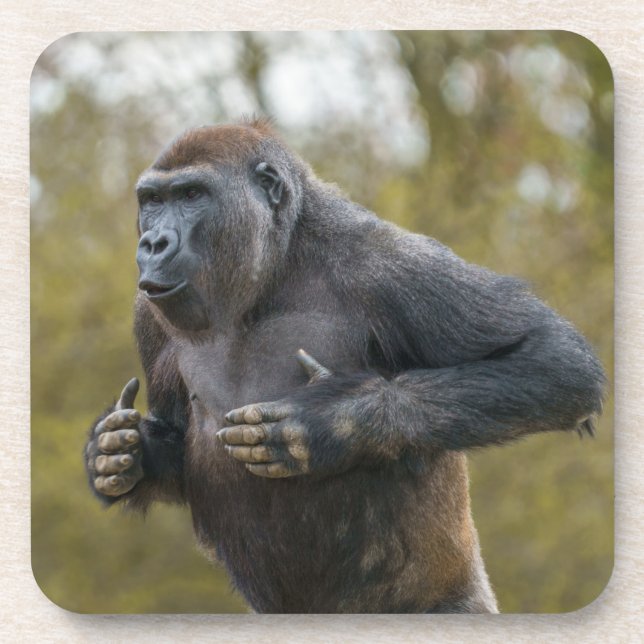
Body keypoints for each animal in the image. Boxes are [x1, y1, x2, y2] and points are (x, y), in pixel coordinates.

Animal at [84, 119, 605, 613]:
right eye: (152, 200)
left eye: (192, 195)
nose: (153, 242)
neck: (276, 267)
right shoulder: (146, 316)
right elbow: (173, 445)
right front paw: (122, 451)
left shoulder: (391, 263)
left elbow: (554, 360)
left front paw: (330, 422)